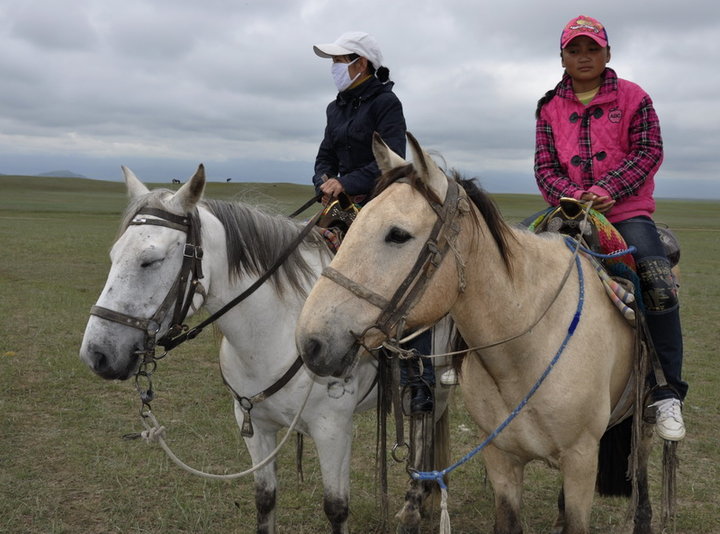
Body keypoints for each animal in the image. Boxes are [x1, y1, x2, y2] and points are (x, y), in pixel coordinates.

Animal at [79, 165, 450, 532]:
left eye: (150, 260)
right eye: (113, 256)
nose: (97, 353)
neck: (275, 333)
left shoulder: (332, 429)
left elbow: (336, 508)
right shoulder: (253, 424)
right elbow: (265, 499)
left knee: (427, 428)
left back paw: (416, 504)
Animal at [296, 134, 660, 534]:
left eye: (398, 234)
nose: (310, 342)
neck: (526, 348)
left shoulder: (581, 460)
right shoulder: (500, 458)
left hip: (641, 417)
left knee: (642, 467)